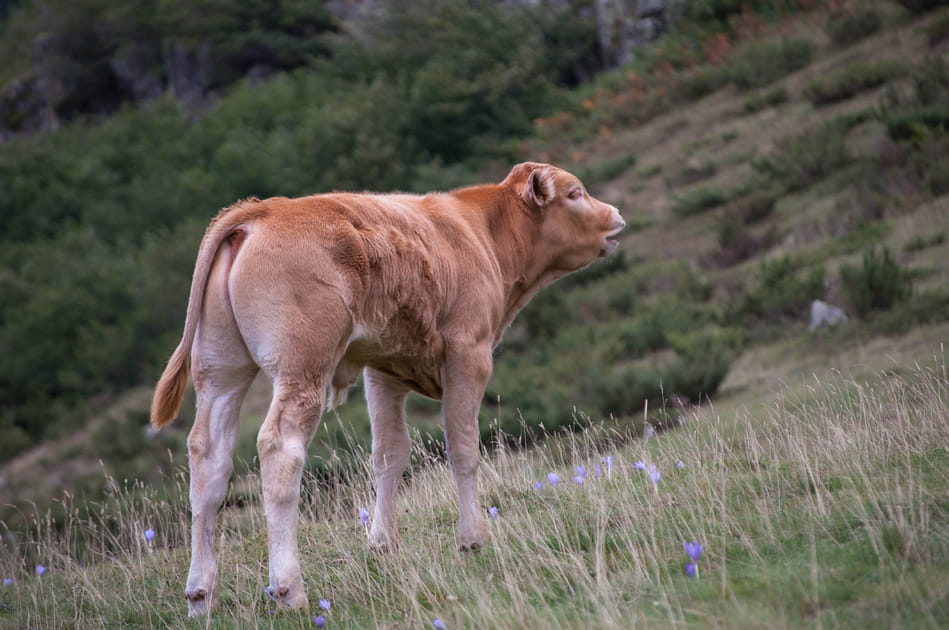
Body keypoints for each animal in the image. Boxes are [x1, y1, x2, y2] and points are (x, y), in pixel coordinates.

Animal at [150, 162, 624, 616]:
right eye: (575, 192)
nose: (616, 216)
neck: (483, 234)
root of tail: (263, 210)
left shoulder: (384, 368)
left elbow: (389, 454)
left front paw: (382, 544)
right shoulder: (468, 354)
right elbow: (463, 447)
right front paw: (473, 537)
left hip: (220, 370)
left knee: (209, 458)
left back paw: (200, 594)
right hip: (302, 366)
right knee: (279, 448)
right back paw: (289, 589)